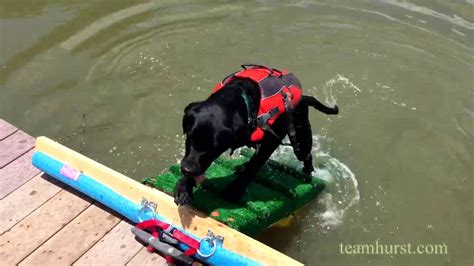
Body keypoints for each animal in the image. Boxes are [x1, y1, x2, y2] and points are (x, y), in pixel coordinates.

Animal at [174, 65, 336, 205]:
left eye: (214, 147)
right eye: (190, 136)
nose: (187, 169)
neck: (241, 100)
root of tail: (304, 98)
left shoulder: (271, 141)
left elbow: (253, 166)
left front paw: (234, 190)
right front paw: (184, 188)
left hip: (300, 139)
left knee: (307, 156)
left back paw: (308, 172)